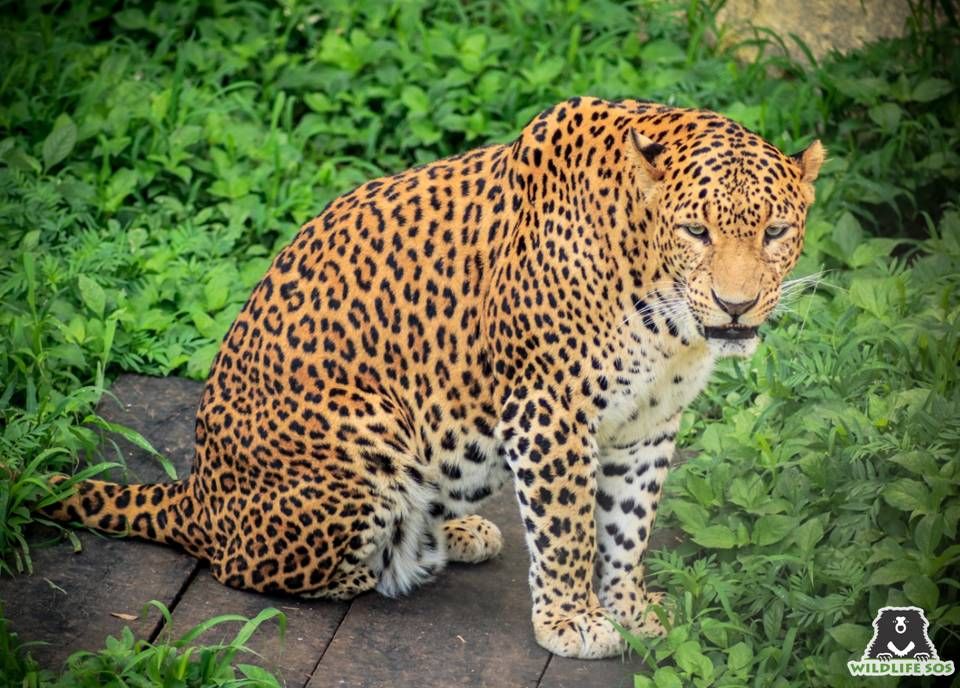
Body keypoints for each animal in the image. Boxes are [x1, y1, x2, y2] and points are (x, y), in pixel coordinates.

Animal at [45, 98, 824, 660]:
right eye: (696, 232)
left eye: (776, 233)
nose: (735, 305)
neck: (667, 322)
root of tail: (196, 493)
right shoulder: (548, 412)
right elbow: (569, 528)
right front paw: (572, 621)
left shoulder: (647, 426)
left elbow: (629, 524)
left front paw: (628, 609)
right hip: (369, 438)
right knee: (253, 566)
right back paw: (406, 554)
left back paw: (456, 531)